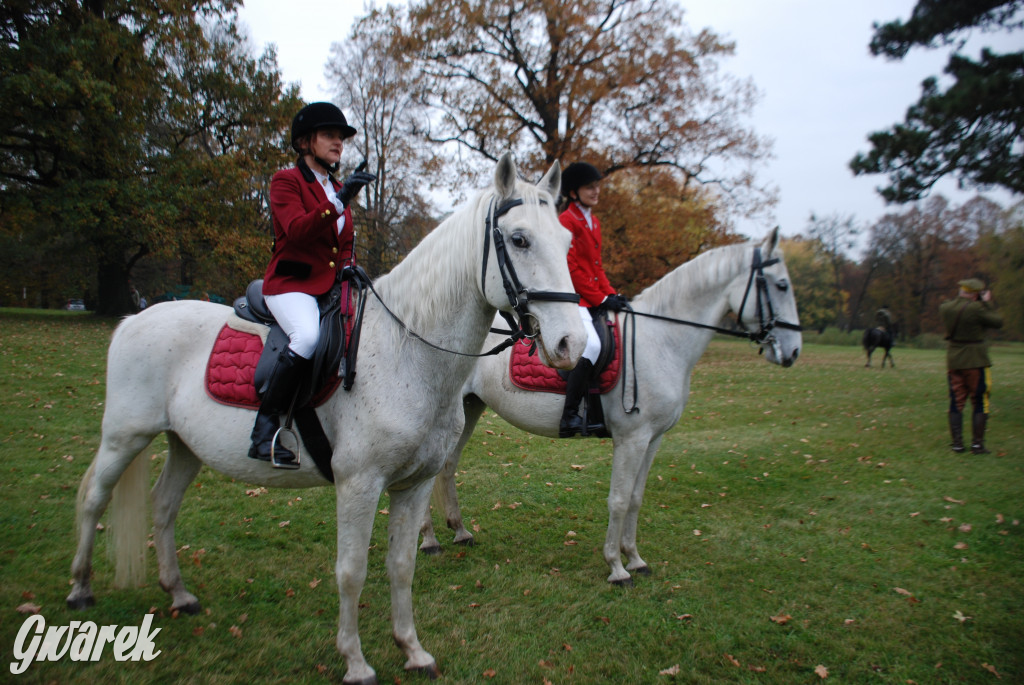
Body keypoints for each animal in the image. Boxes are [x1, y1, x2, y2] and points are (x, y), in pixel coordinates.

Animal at [68, 154, 585, 683]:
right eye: (519, 239)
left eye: (567, 243)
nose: (572, 344)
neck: (406, 349)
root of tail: (135, 319)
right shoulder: (358, 483)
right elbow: (351, 571)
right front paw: (355, 661)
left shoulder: (414, 484)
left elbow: (402, 565)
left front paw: (413, 650)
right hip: (125, 437)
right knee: (93, 498)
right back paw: (81, 589)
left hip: (185, 444)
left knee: (164, 506)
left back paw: (178, 594)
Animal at [419, 228, 802, 581]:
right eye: (782, 285)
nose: (794, 351)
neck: (660, 341)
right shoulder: (632, 439)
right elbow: (618, 500)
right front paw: (617, 567)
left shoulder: (653, 439)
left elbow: (635, 498)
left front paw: (635, 559)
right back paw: (429, 541)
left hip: (471, 407)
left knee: (448, 467)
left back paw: (459, 532)